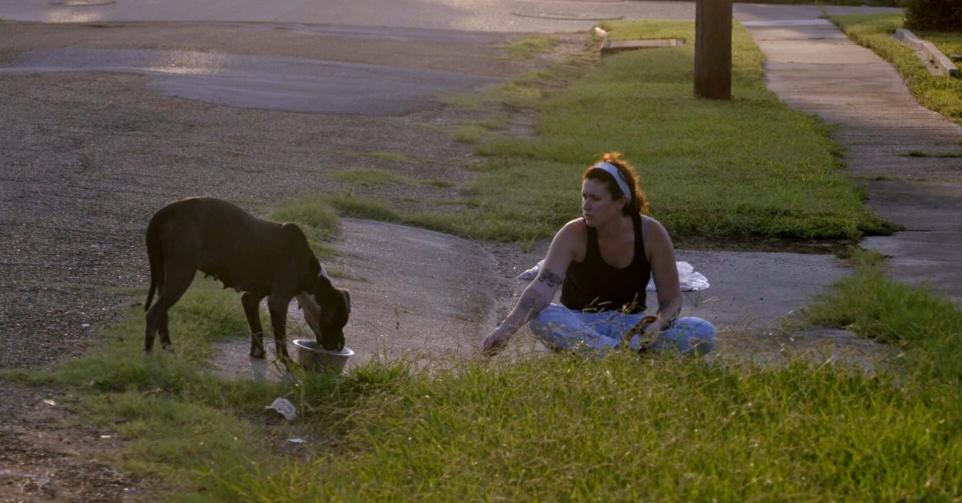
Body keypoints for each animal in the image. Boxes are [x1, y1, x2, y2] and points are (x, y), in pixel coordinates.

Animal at [143, 197, 350, 361]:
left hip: (166, 275)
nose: (341, 346)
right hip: (182, 273)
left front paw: (258, 353)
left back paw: (167, 347)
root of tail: (165, 212)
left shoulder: (251, 298)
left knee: (163, 312)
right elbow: (280, 338)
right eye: (338, 320)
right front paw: (287, 363)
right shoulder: (278, 302)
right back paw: (148, 354)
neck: (311, 275)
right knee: (154, 313)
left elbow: (256, 327)